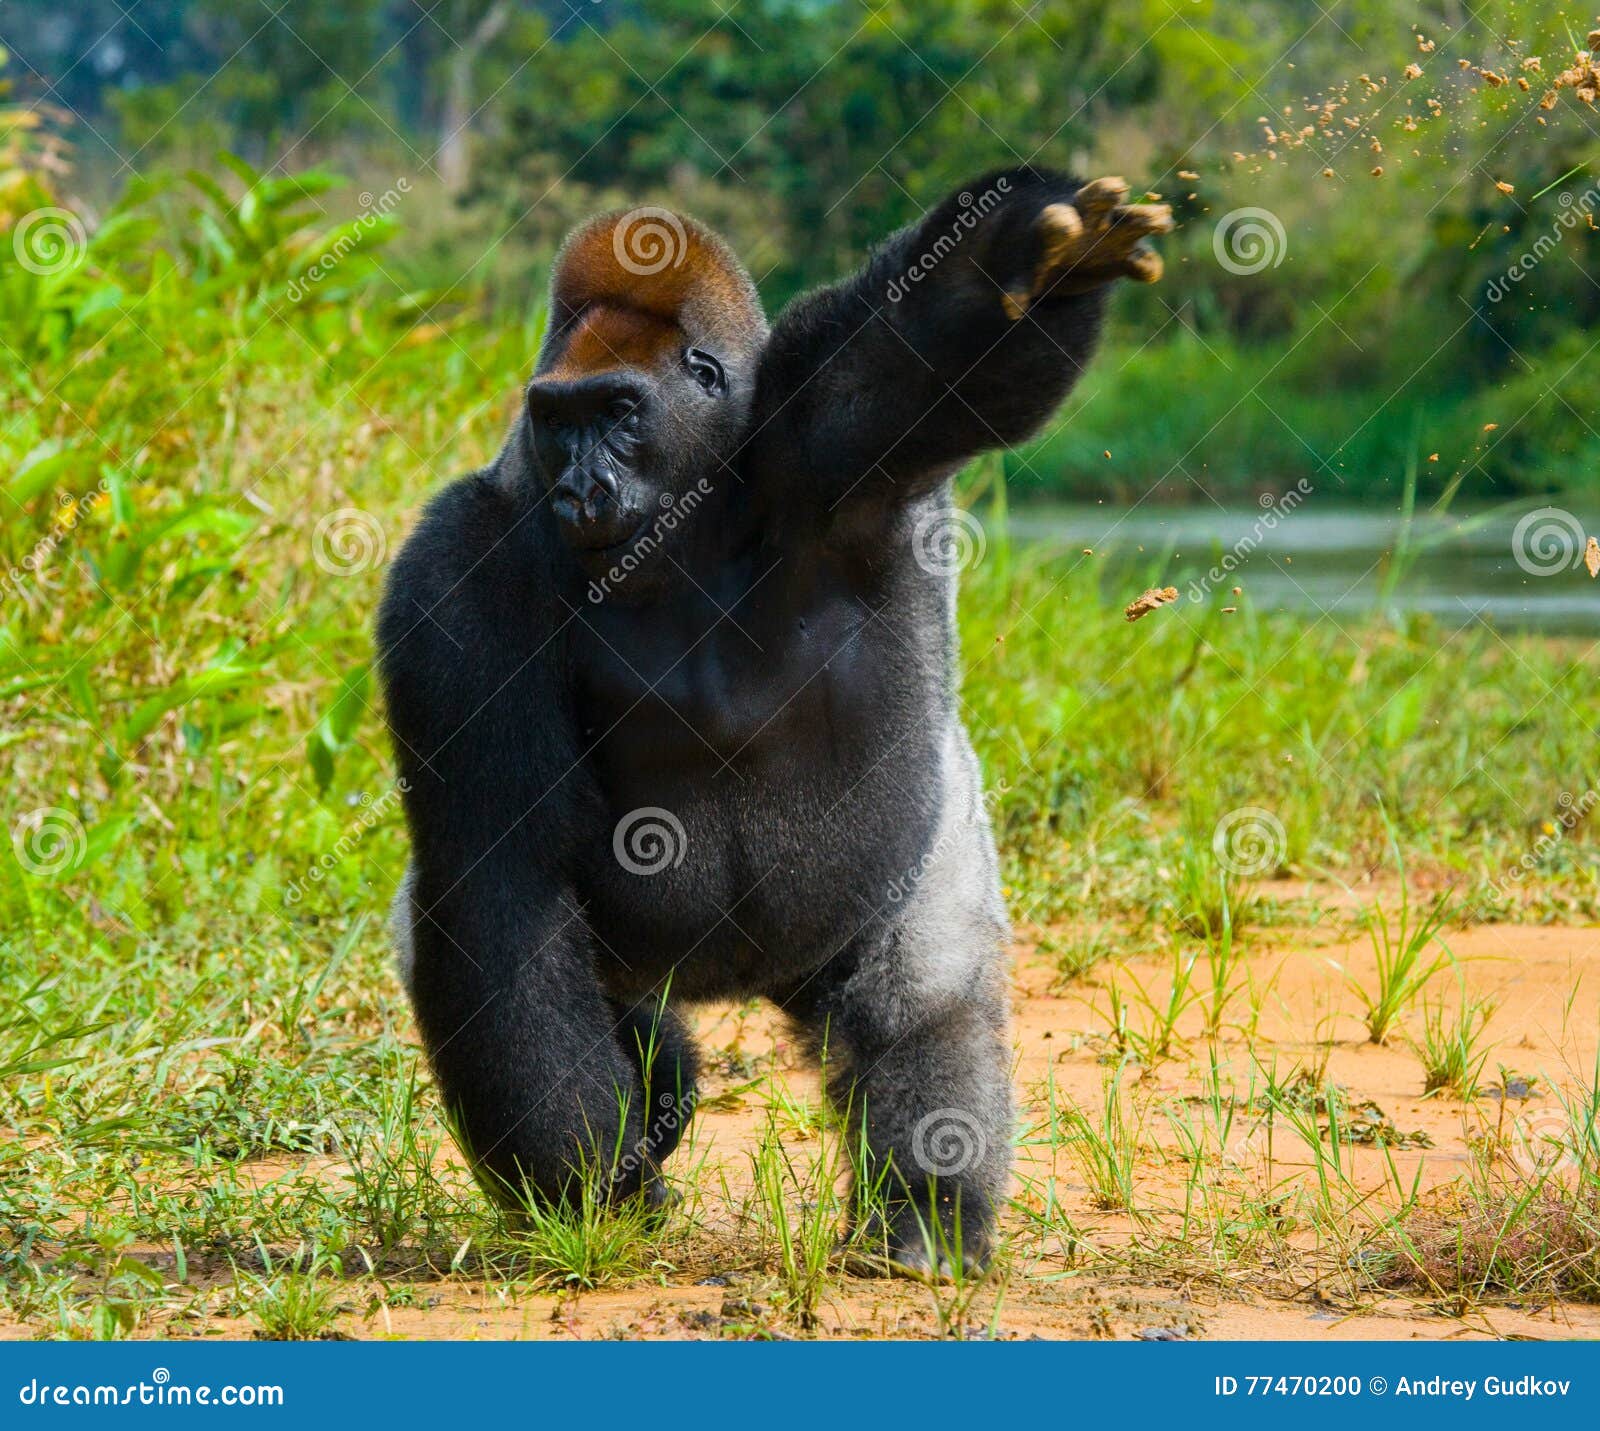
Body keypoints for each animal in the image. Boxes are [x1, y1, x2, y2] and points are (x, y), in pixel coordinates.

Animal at [377, 168, 1171, 1275]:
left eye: (619, 413)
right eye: (558, 421)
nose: (579, 484)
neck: (683, 517)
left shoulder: (821, 445)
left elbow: (934, 360)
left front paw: (1025, 262)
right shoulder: (453, 569)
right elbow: (496, 868)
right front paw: (590, 1189)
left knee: (923, 999)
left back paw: (924, 1218)